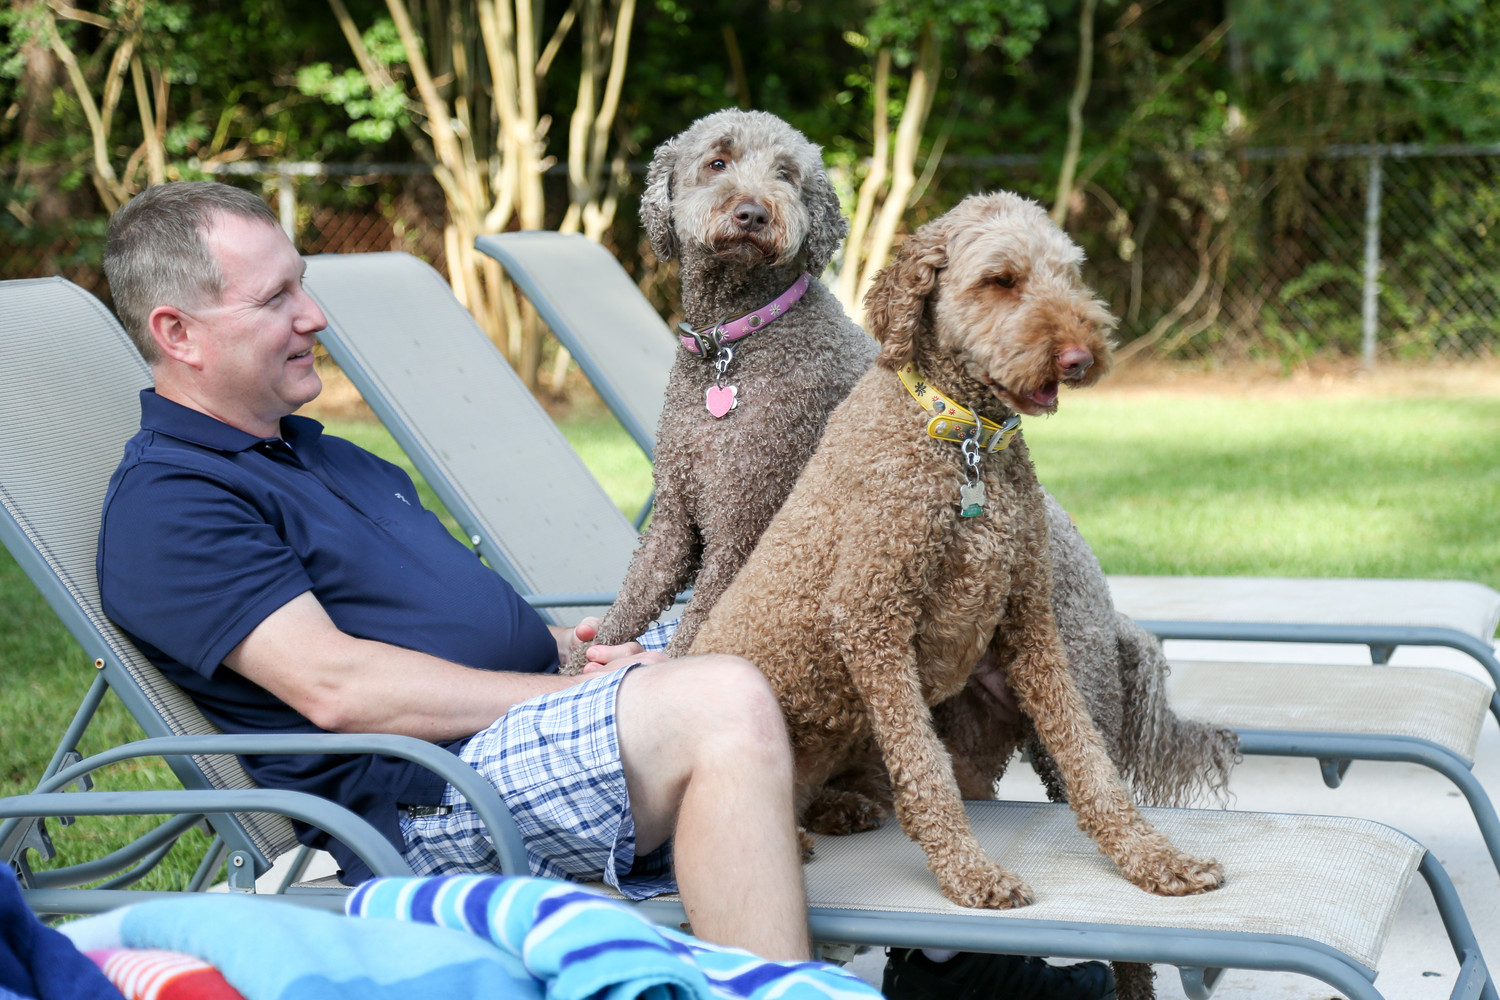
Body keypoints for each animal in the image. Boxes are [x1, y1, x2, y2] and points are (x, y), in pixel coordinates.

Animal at [565, 109, 876, 669]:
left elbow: (694, 634)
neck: (732, 339)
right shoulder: (673, 519)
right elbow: (629, 602)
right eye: (717, 162)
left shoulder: (743, 523)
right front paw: (578, 666)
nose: (753, 214)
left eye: (786, 174)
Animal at [689, 191, 1225, 914]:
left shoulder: (1029, 620)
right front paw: (971, 872)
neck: (962, 439)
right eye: (1000, 280)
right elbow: (925, 773)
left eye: (1068, 275)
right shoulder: (872, 619)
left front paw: (1154, 857)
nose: (1080, 357)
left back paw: (838, 809)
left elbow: (1087, 758)